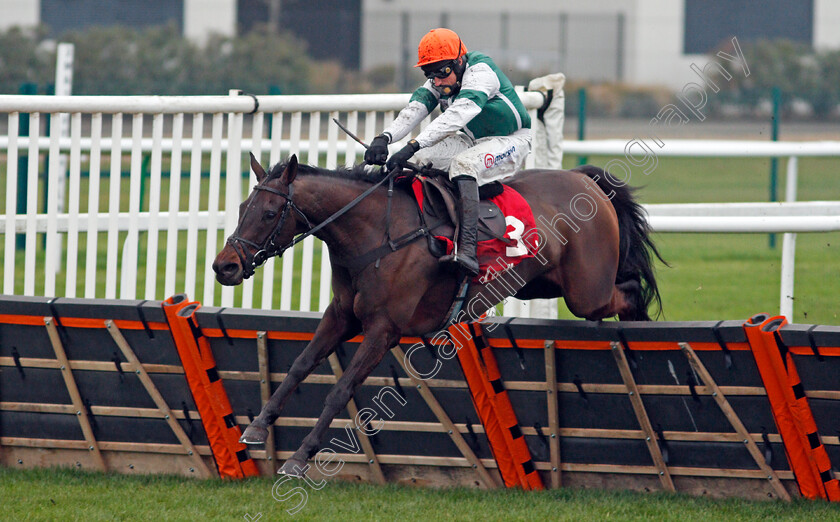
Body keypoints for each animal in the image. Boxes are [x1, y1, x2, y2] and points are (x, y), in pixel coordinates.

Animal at [212, 152, 664, 474]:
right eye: (242, 206)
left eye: (270, 213)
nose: (224, 267)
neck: (374, 234)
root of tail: (584, 177)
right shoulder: (341, 316)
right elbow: (299, 366)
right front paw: (257, 427)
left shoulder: (384, 329)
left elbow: (341, 390)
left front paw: (299, 457)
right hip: (543, 282)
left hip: (587, 291)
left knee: (629, 294)